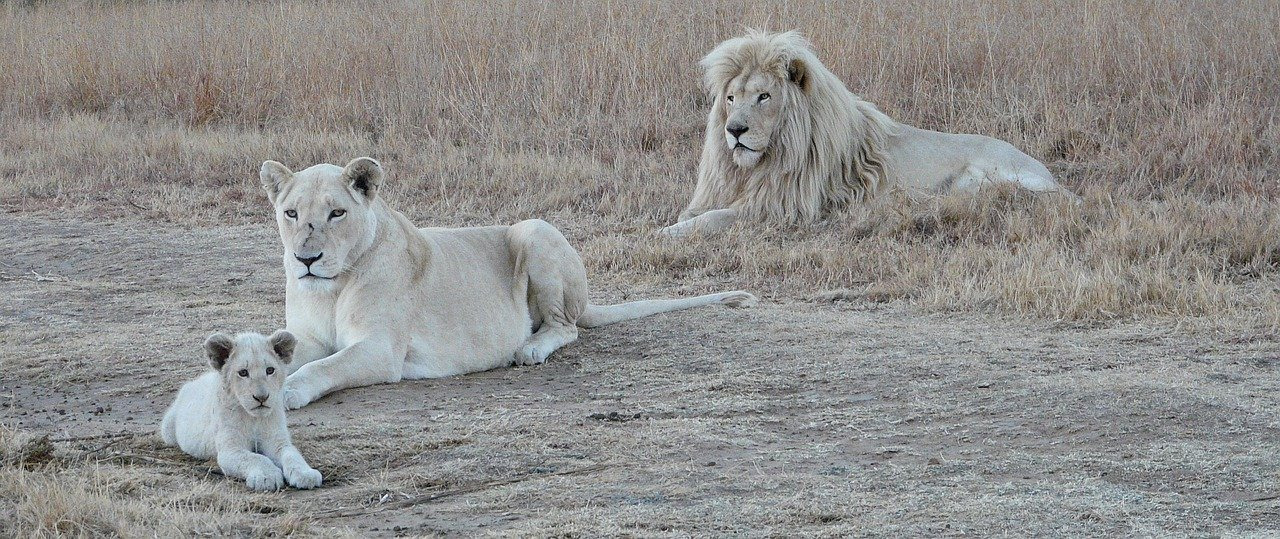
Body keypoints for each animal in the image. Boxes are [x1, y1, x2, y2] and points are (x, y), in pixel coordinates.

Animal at [159, 330, 323, 491]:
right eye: (243, 373)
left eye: (270, 370)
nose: (262, 397)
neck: (254, 419)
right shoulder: (230, 449)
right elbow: (256, 458)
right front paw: (266, 477)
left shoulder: (277, 441)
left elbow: (292, 455)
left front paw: (306, 474)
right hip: (168, 430)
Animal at [260, 157, 756, 409]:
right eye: (291, 213)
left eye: (336, 213)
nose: (306, 259)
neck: (332, 286)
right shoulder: (306, 338)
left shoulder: (381, 350)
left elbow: (325, 367)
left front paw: (289, 391)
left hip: (533, 230)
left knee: (565, 327)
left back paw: (530, 349)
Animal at [661, 30, 1076, 237]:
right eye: (731, 98)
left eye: (764, 96)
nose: (734, 130)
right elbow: (697, 212)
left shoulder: (783, 209)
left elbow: (715, 219)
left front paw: (666, 233)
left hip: (999, 170)